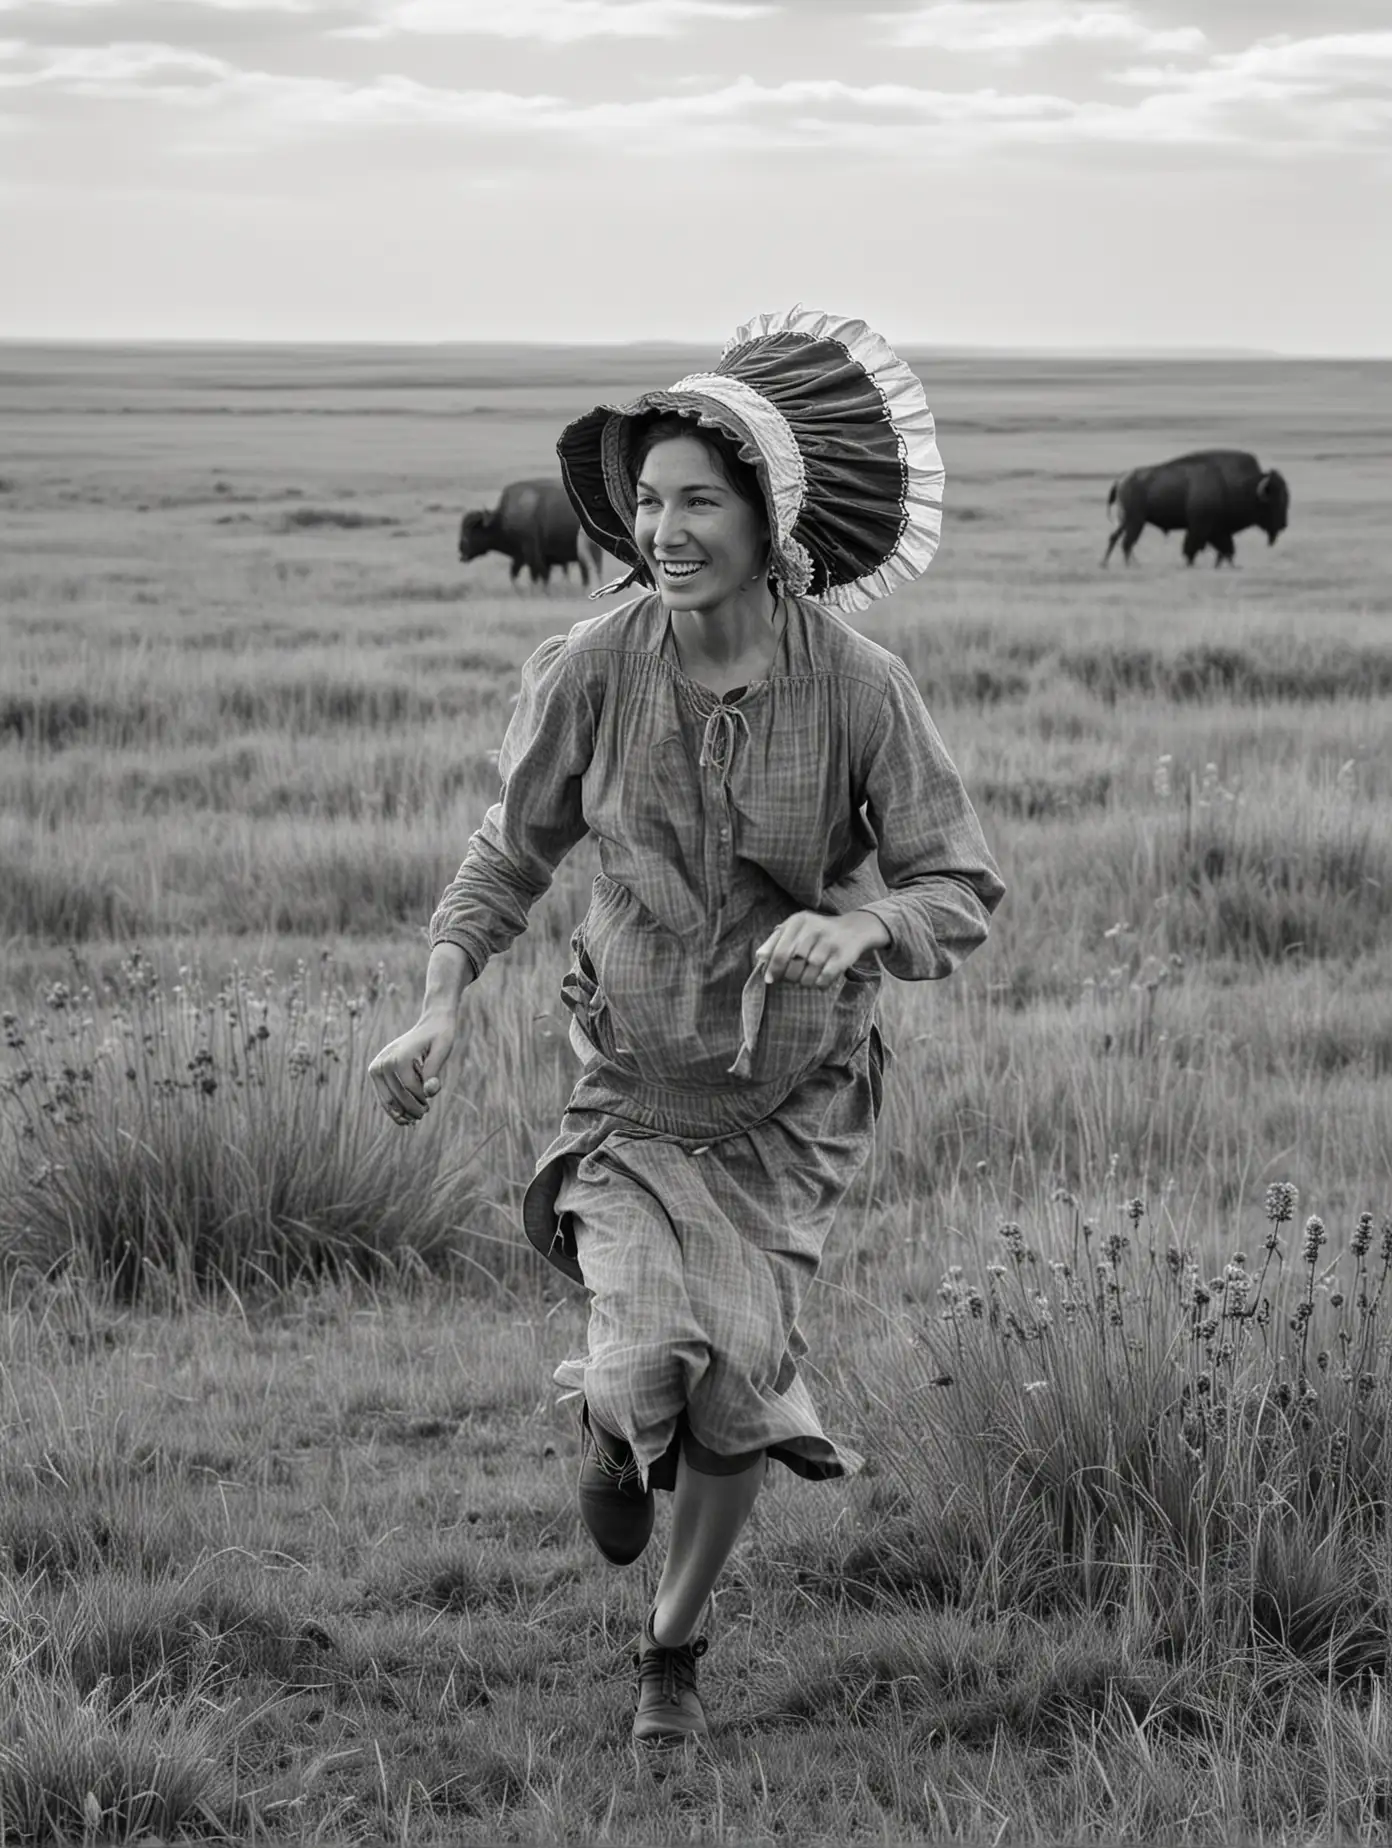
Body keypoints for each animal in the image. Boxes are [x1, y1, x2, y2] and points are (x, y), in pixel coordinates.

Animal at [456, 480, 602, 587]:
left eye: (472, 529)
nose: (461, 550)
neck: (501, 519)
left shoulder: (532, 554)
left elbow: (537, 574)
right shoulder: (520, 557)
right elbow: (516, 573)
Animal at [1101, 450, 1286, 565]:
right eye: (1274, 502)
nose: (1283, 524)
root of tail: (1120, 481)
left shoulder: (1218, 531)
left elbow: (1225, 550)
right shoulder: (1201, 528)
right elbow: (1192, 549)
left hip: (1126, 521)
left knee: (1115, 538)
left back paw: (1107, 564)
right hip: (1136, 522)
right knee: (1127, 543)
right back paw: (1130, 565)